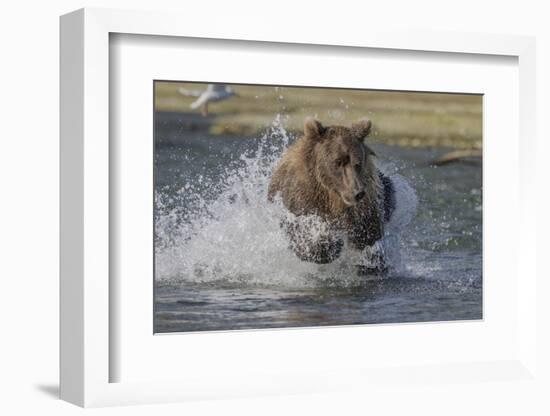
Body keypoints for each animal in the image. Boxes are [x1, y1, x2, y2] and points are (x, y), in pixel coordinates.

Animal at [270, 117, 394, 266]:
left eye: (357, 163)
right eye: (338, 161)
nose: (357, 193)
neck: (332, 197)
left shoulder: (365, 207)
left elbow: (369, 237)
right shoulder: (302, 197)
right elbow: (301, 229)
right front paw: (329, 244)